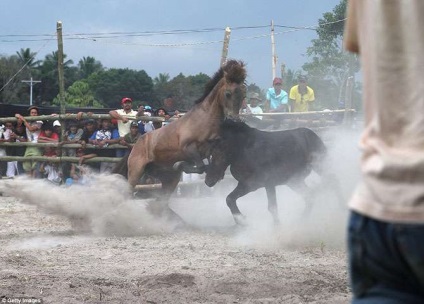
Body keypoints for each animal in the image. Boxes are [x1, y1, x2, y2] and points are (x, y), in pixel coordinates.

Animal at [116, 59, 248, 221]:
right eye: (228, 93)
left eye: (243, 96)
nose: (235, 119)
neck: (204, 120)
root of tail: (135, 146)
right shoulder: (188, 148)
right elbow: (200, 167)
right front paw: (181, 165)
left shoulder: (213, 149)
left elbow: (208, 165)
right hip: (135, 172)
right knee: (130, 194)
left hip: (169, 179)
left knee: (161, 202)